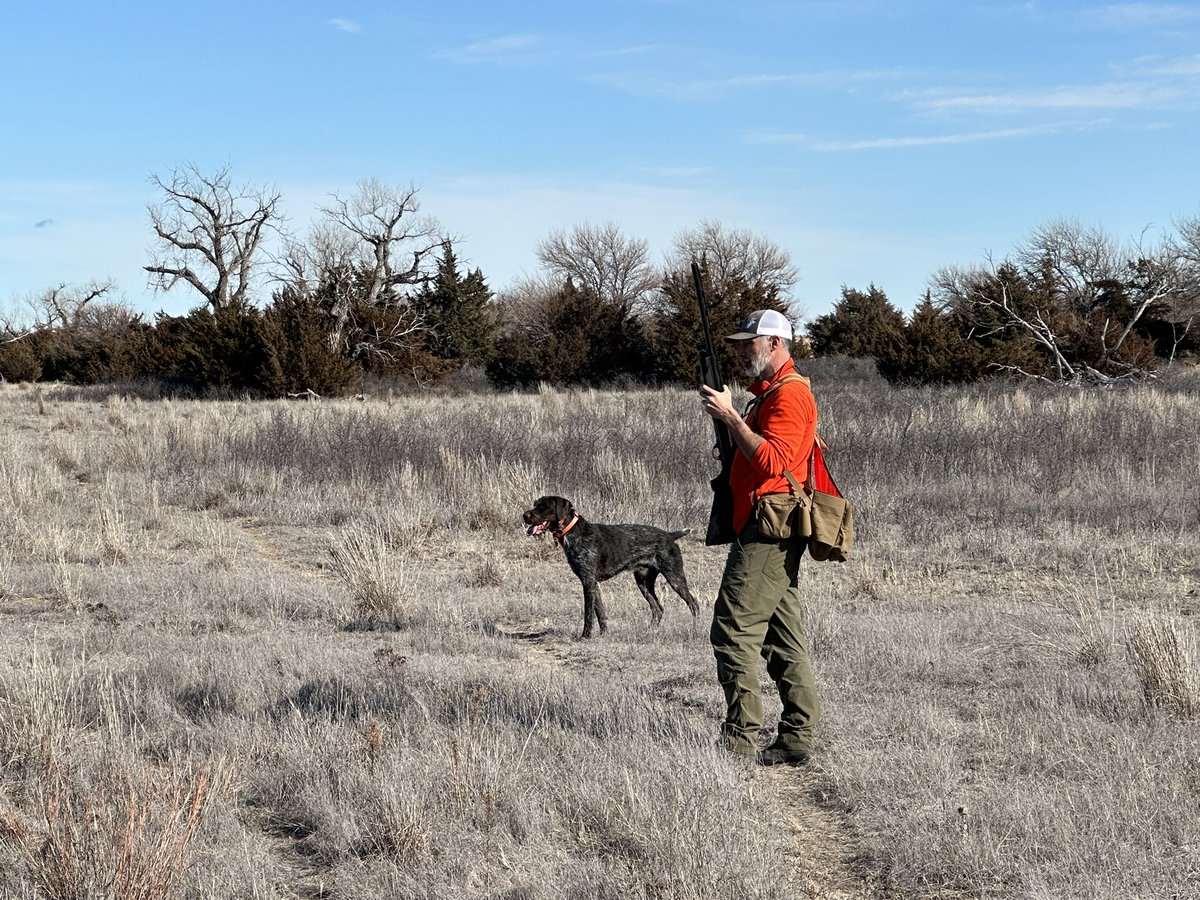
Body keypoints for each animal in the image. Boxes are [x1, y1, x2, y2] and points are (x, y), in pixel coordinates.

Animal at [520, 494, 700, 643]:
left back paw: (695, 630)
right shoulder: (592, 583)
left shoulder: (588, 582)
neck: (573, 532)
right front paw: (603, 634)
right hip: (643, 582)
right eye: (535, 504)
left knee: (693, 604)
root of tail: (670, 535)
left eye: (544, 507)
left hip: (674, 577)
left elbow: (588, 614)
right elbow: (600, 612)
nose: (525, 515)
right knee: (658, 608)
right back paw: (649, 631)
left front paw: (585, 636)